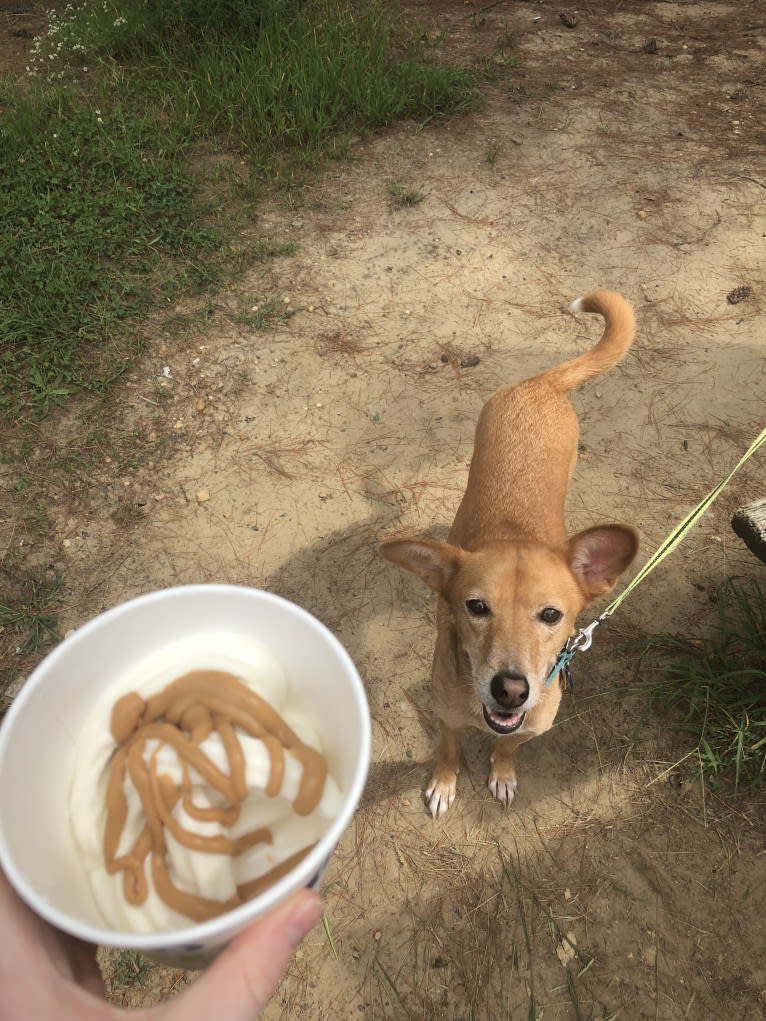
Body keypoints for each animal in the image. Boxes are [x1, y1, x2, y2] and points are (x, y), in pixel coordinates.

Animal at [381, 292, 637, 816]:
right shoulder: (445, 714)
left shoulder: (531, 726)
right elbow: (449, 750)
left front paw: (500, 773)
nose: (511, 690)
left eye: (551, 615)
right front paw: (445, 784)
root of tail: (539, 384)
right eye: (476, 607)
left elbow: (506, 746)